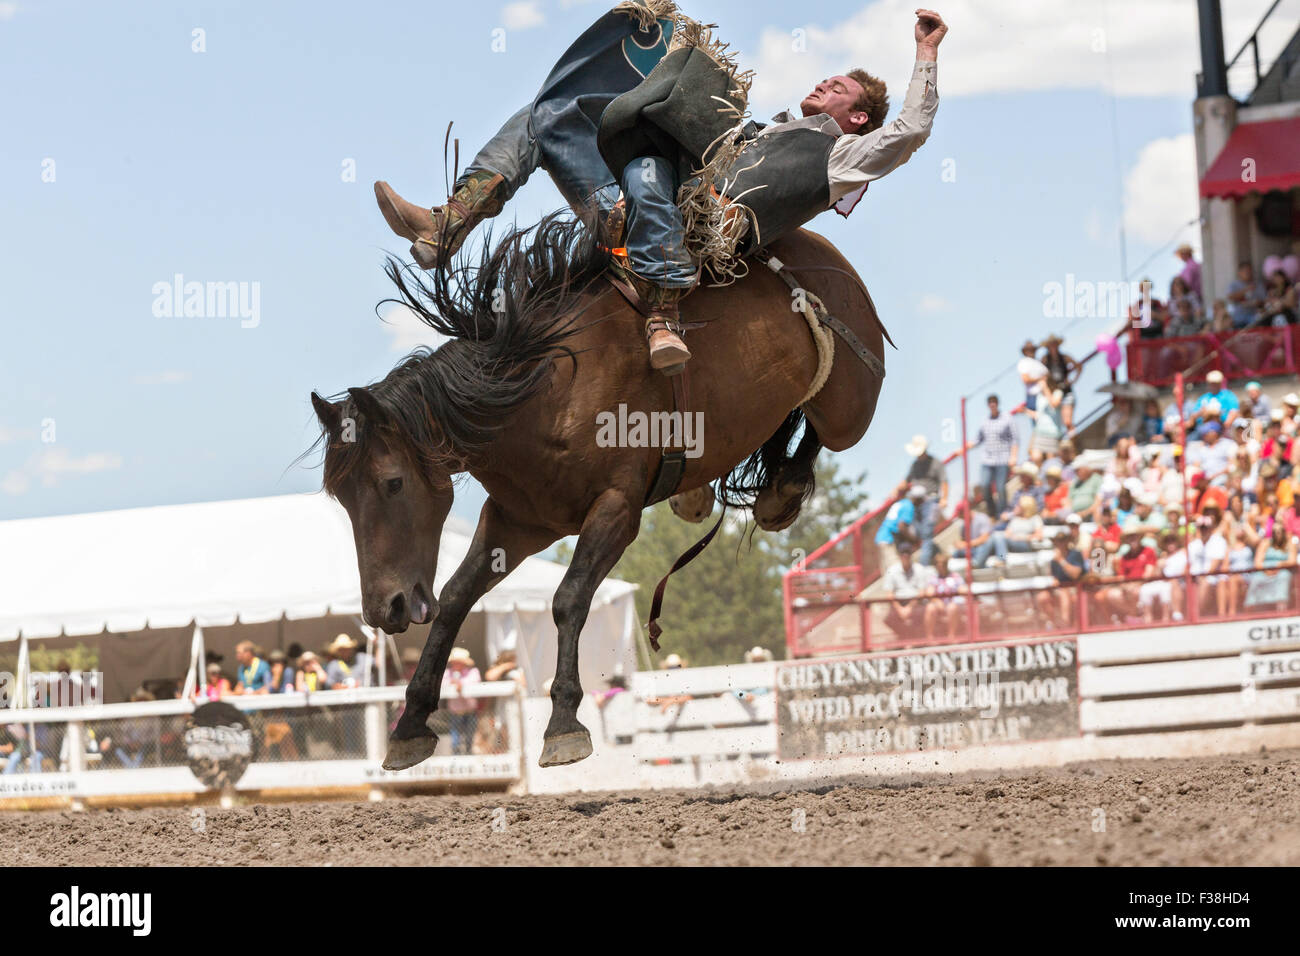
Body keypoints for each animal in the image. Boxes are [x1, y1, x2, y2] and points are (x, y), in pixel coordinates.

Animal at [309, 214, 889, 770]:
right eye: (341, 498)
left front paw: (564, 724)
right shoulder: (519, 521)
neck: (543, 388)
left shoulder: (616, 511)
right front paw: (409, 726)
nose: (383, 609)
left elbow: (568, 600)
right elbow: (455, 598)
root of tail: (826, 253)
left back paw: (780, 490)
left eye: (392, 482)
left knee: (819, 424)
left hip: (849, 409)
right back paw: (711, 493)